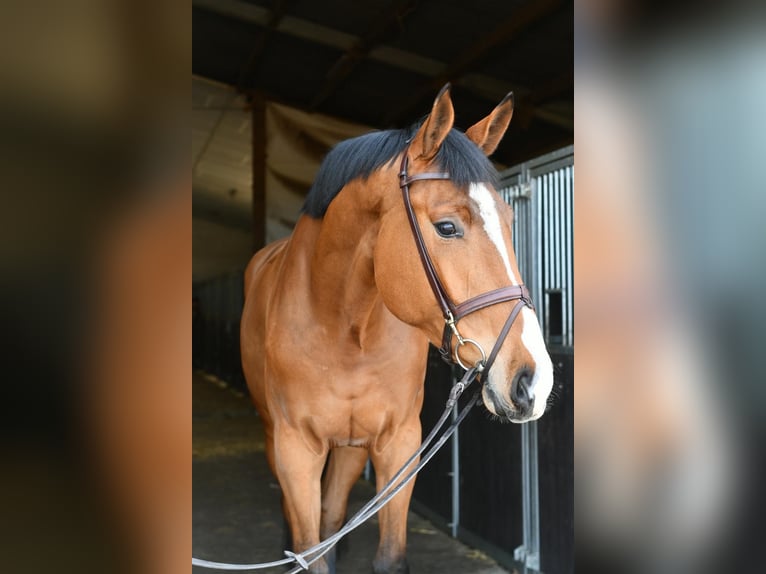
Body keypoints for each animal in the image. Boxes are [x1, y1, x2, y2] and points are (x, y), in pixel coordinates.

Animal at [240, 85, 554, 574]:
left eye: (509, 221)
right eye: (447, 226)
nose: (533, 380)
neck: (345, 331)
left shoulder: (399, 444)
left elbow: (387, 554)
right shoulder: (296, 449)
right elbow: (310, 549)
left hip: (351, 447)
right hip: (275, 435)